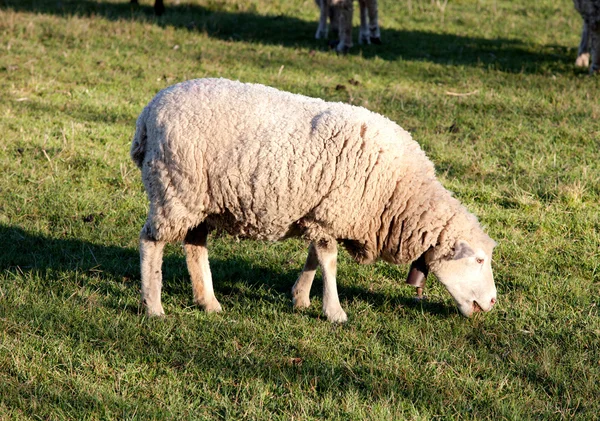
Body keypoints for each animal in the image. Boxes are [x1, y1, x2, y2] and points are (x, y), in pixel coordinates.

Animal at [130, 78, 496, 322]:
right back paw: (153, 306)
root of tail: (148, 112)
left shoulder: (320, 214)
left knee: (194, 246)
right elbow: (329, 263)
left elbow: (313, 259)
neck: (399, 193)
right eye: (479, 260)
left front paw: (301, 299)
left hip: (198, 199)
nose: (492, 303)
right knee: (151, 241)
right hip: (173, 188)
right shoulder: (330, 212)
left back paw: (208, 302)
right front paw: (334, 312)